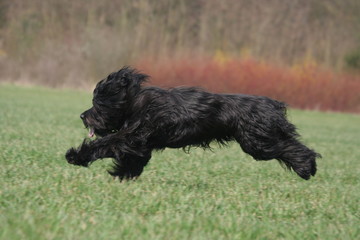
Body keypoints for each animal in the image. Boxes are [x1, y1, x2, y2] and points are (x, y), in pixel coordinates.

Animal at [65, 66, 320, 181]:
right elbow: (133, 159)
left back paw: (307, 167)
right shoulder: (140, 143)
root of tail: (273, 104)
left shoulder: (132, 136)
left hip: (258, 142)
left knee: (292, 148)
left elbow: (106, 143)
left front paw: (75, 156)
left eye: (97, 103)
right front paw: (123, 175)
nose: (82, 116)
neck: (134, 104)